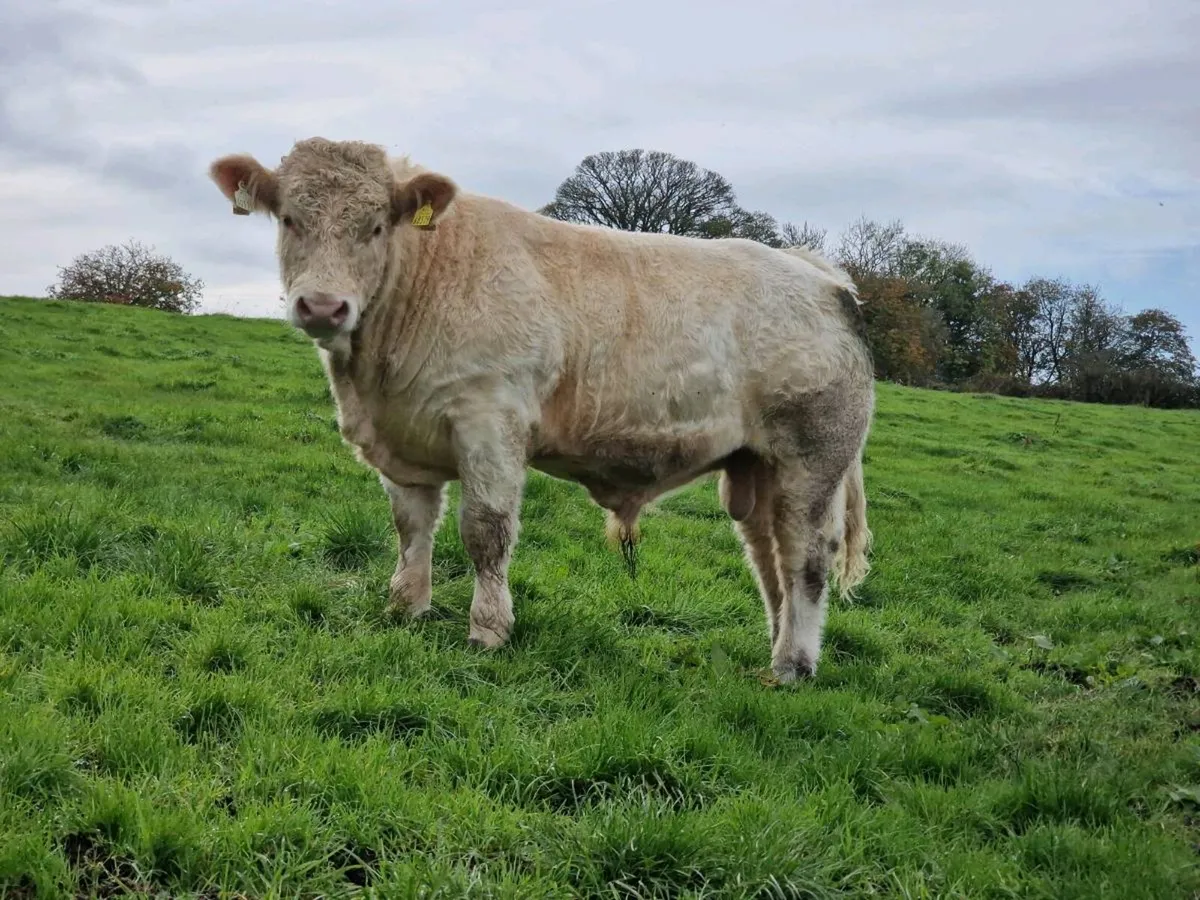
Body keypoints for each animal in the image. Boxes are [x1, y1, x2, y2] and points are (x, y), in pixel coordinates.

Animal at [207, 137, 875, 681]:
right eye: (289, 219)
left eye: (375, 227)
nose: (323, 306)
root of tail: (822, 278)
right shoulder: (404, 443)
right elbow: (411, 527)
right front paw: (407, 607)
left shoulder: (489, 422)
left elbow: (486, 532)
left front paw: (488, 629)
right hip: (756, 466)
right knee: (768, 557)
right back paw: (778, 645)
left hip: (811, 459)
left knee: (806, 556)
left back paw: (793, 664)